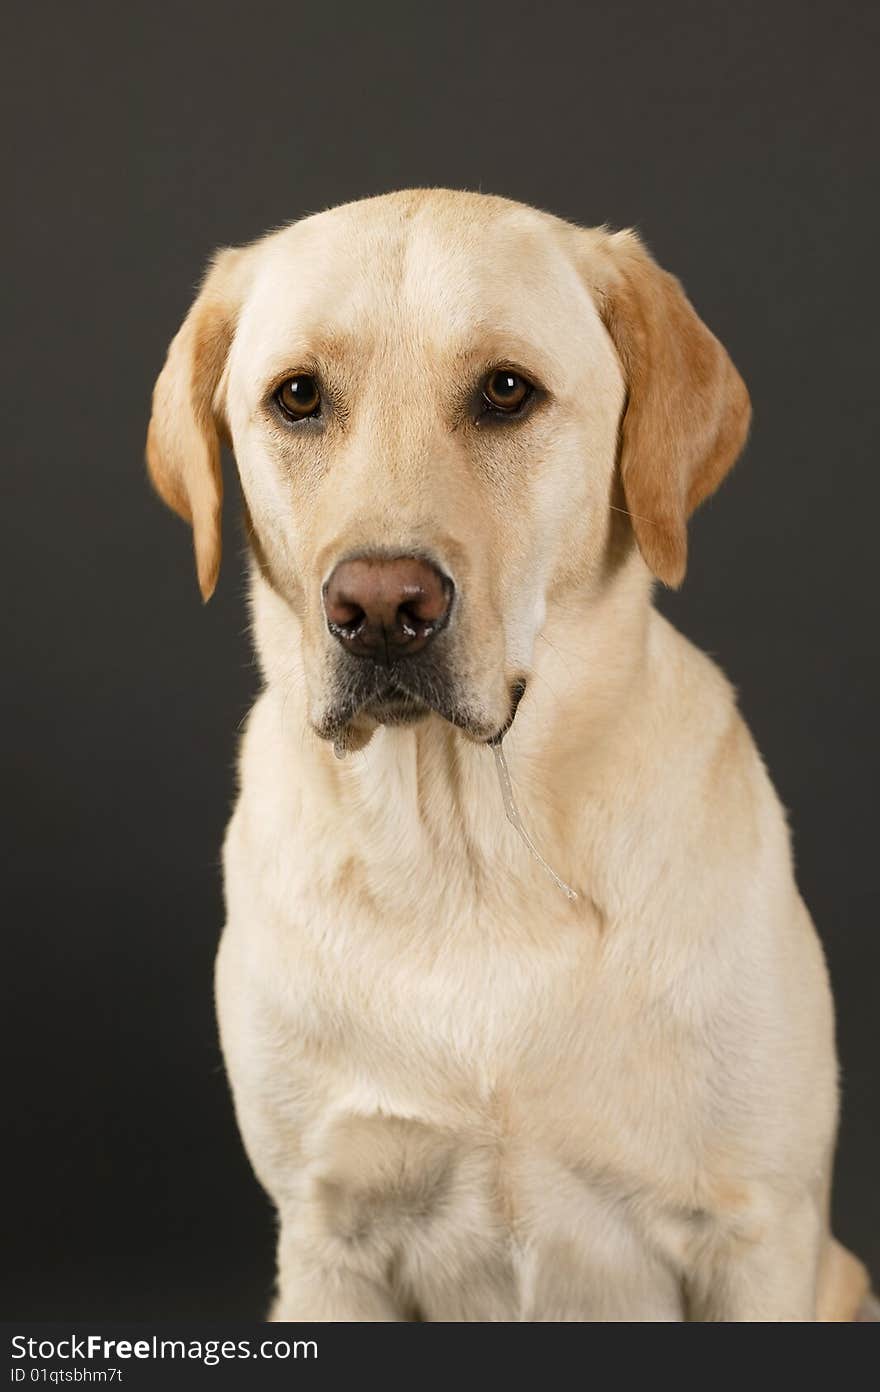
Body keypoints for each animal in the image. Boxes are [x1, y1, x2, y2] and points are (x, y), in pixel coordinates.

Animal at [146, 190, 874, 1319]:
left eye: (505, 391)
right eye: (297, 397)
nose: (380, 609)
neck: (471, 852)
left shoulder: (757, 1231)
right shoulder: (327, 1239)